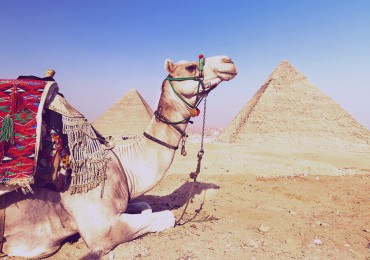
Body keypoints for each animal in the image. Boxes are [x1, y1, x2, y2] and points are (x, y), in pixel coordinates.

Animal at [0, 55, 237, 258]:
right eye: (190, 67)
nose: (228, 61)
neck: (123, 165)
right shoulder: (101, 230)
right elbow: (167, 217)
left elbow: (145, 205)